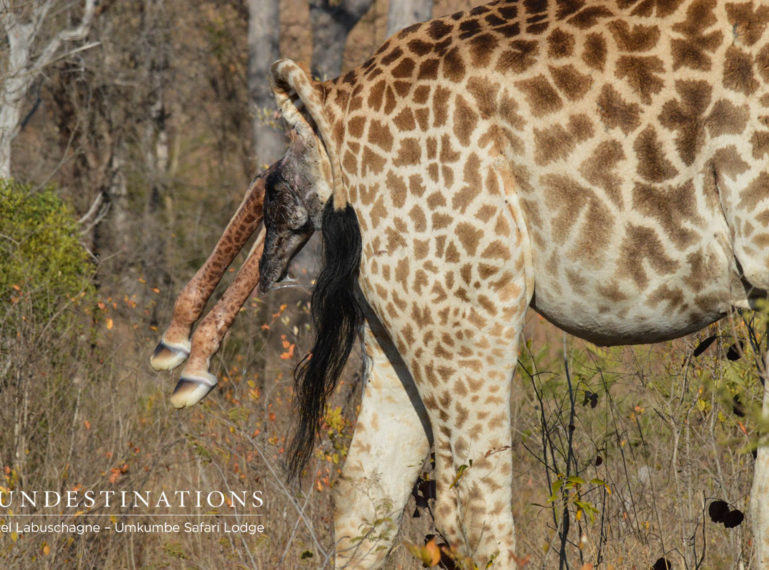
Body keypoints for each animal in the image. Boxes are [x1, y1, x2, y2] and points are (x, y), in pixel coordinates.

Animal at [154, 0, 768, 564]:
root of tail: (340, 95)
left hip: (405, 305)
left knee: (367, 492)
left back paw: (185, 353)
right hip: (472, 299)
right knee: (468, 503)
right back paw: (184, 352)